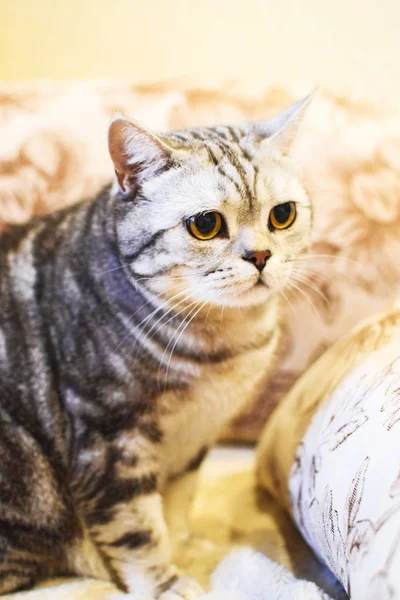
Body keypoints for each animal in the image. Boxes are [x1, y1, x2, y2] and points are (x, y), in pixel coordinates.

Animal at [0, 96, 312, 596]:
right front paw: (166, 583)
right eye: (205, 224)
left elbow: (178, 502)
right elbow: (137, 528)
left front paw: (186, 550)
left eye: (282, 215)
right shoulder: (110, 439)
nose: (261, 256)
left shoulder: (193, 438)